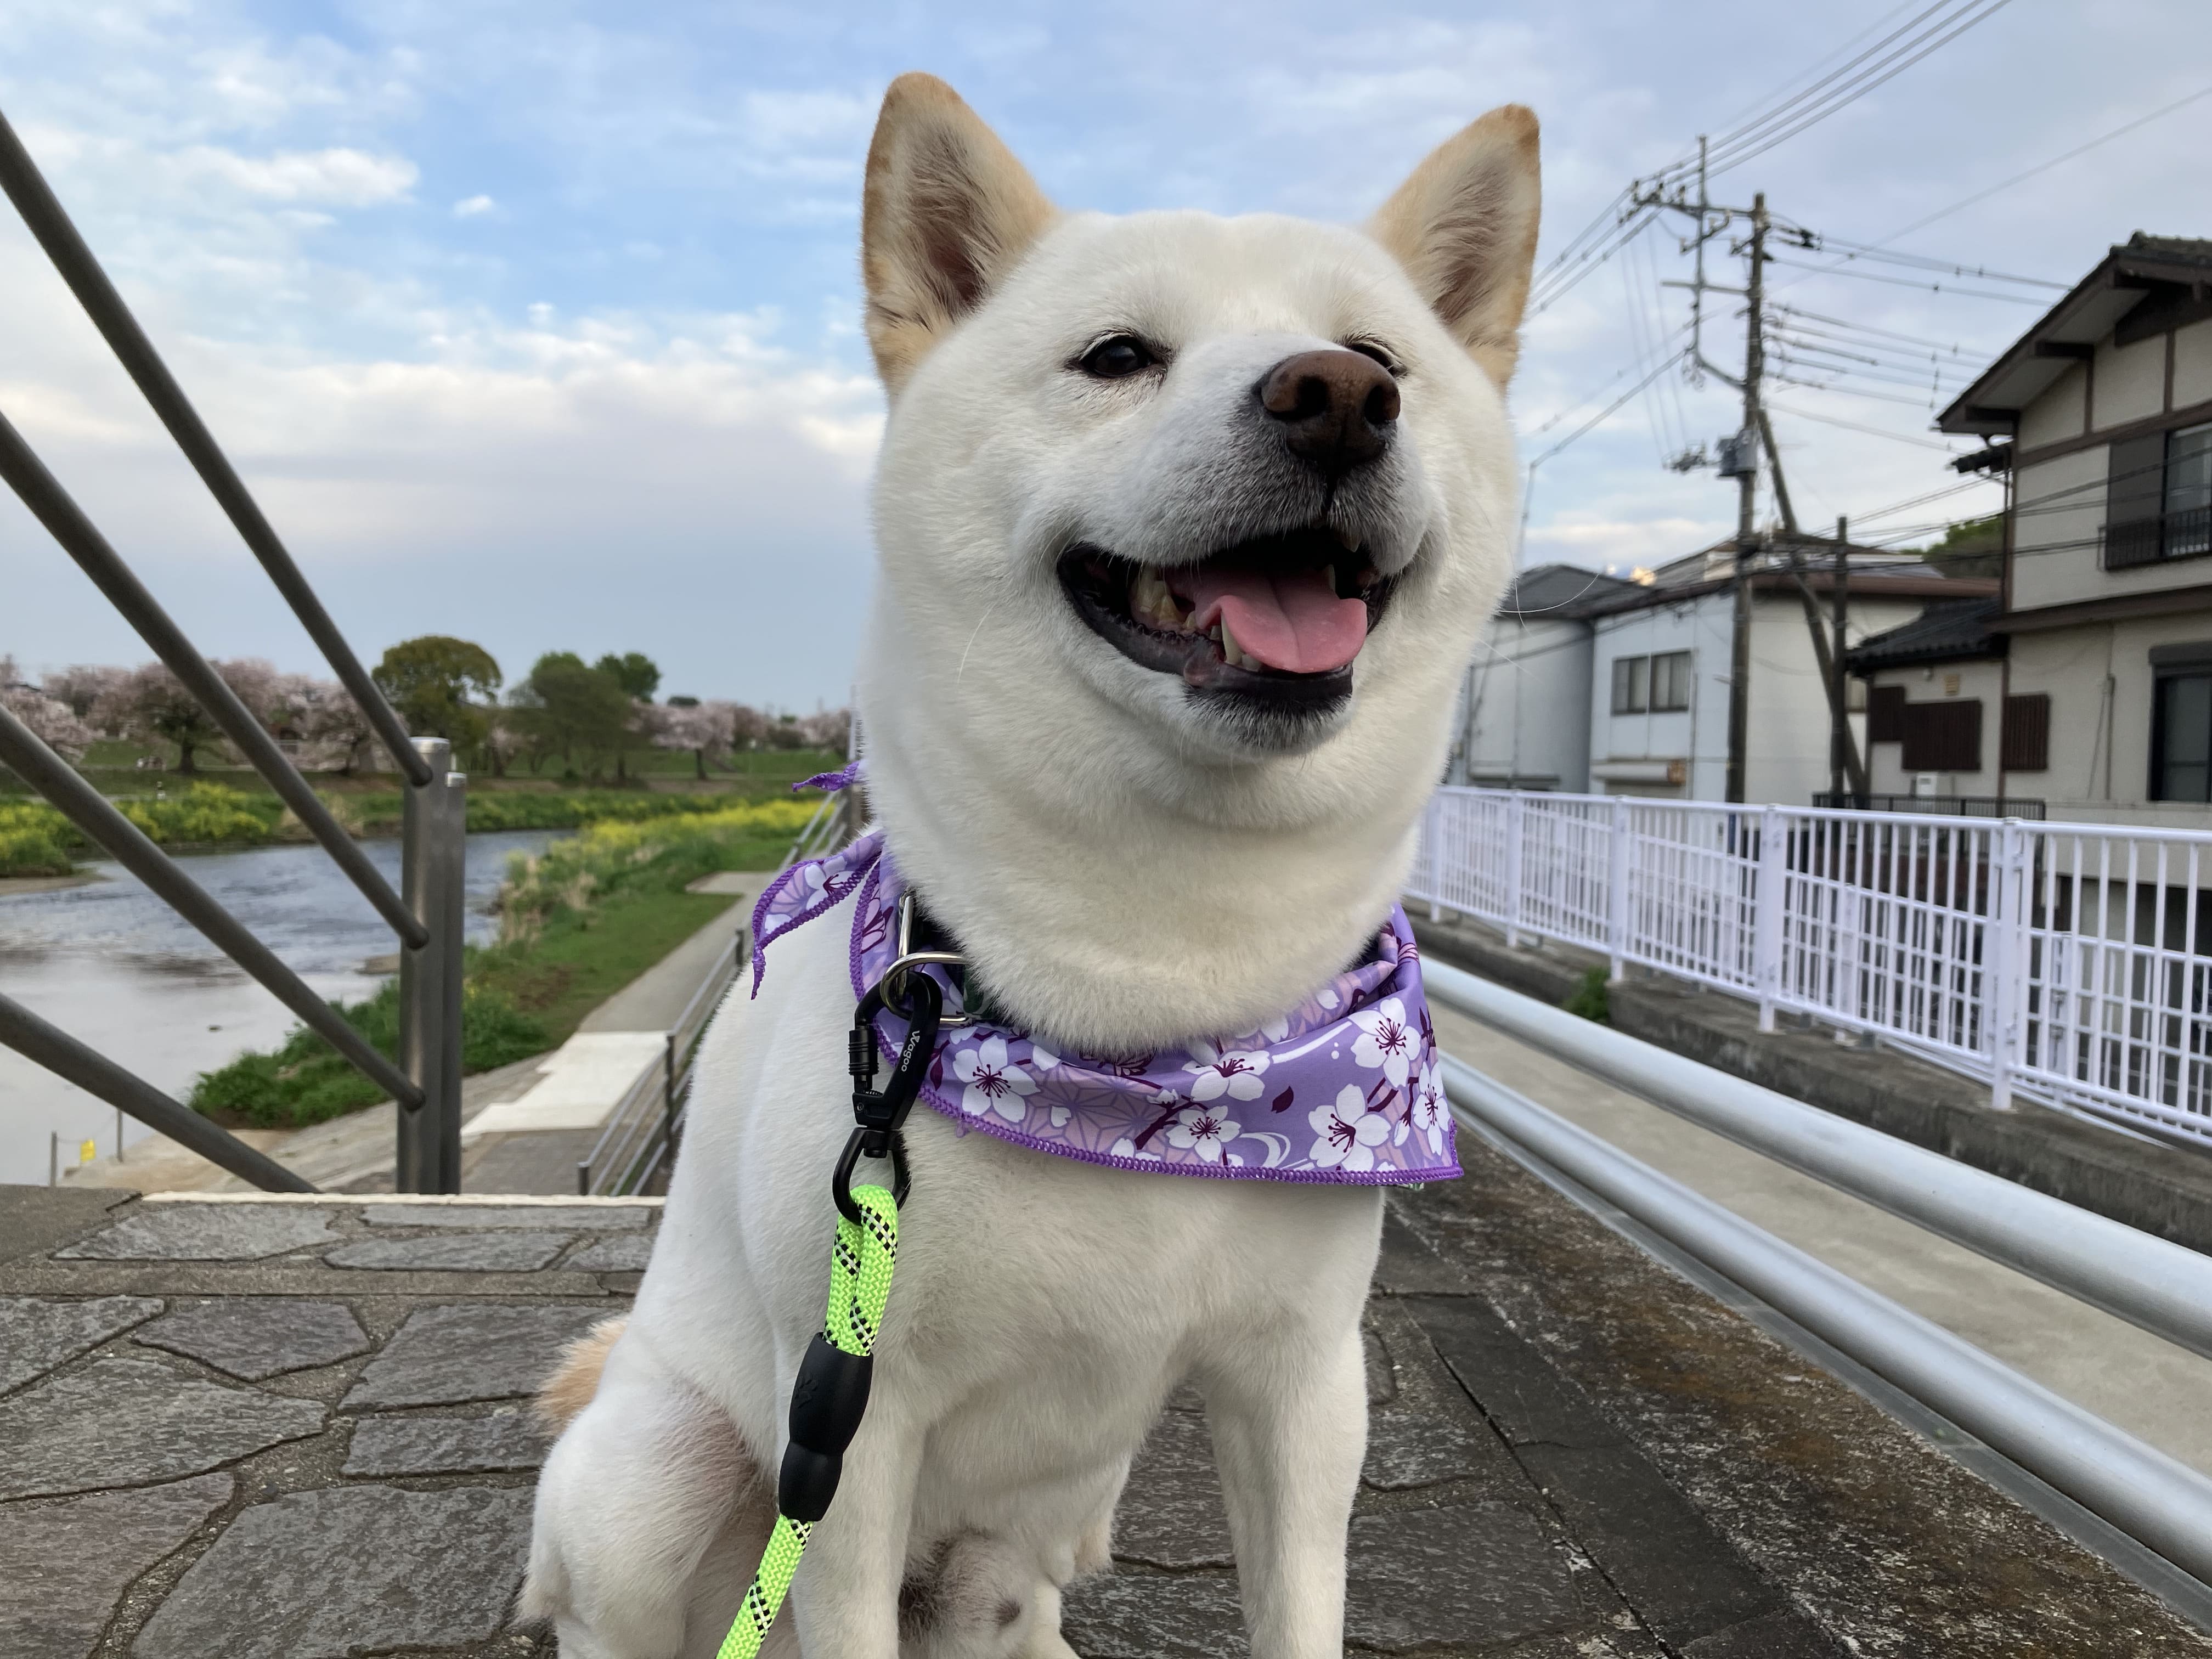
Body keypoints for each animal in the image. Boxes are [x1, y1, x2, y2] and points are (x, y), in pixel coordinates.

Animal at [522, 72, 1538, 1658]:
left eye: (1386, 361)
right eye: (1117, 357)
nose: (1336, 397)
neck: (1161, 1009)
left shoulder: (1305, 1386)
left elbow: (1299, 1602)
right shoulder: (853, 1420)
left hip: (1037, 1539)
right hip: (665, 1473)